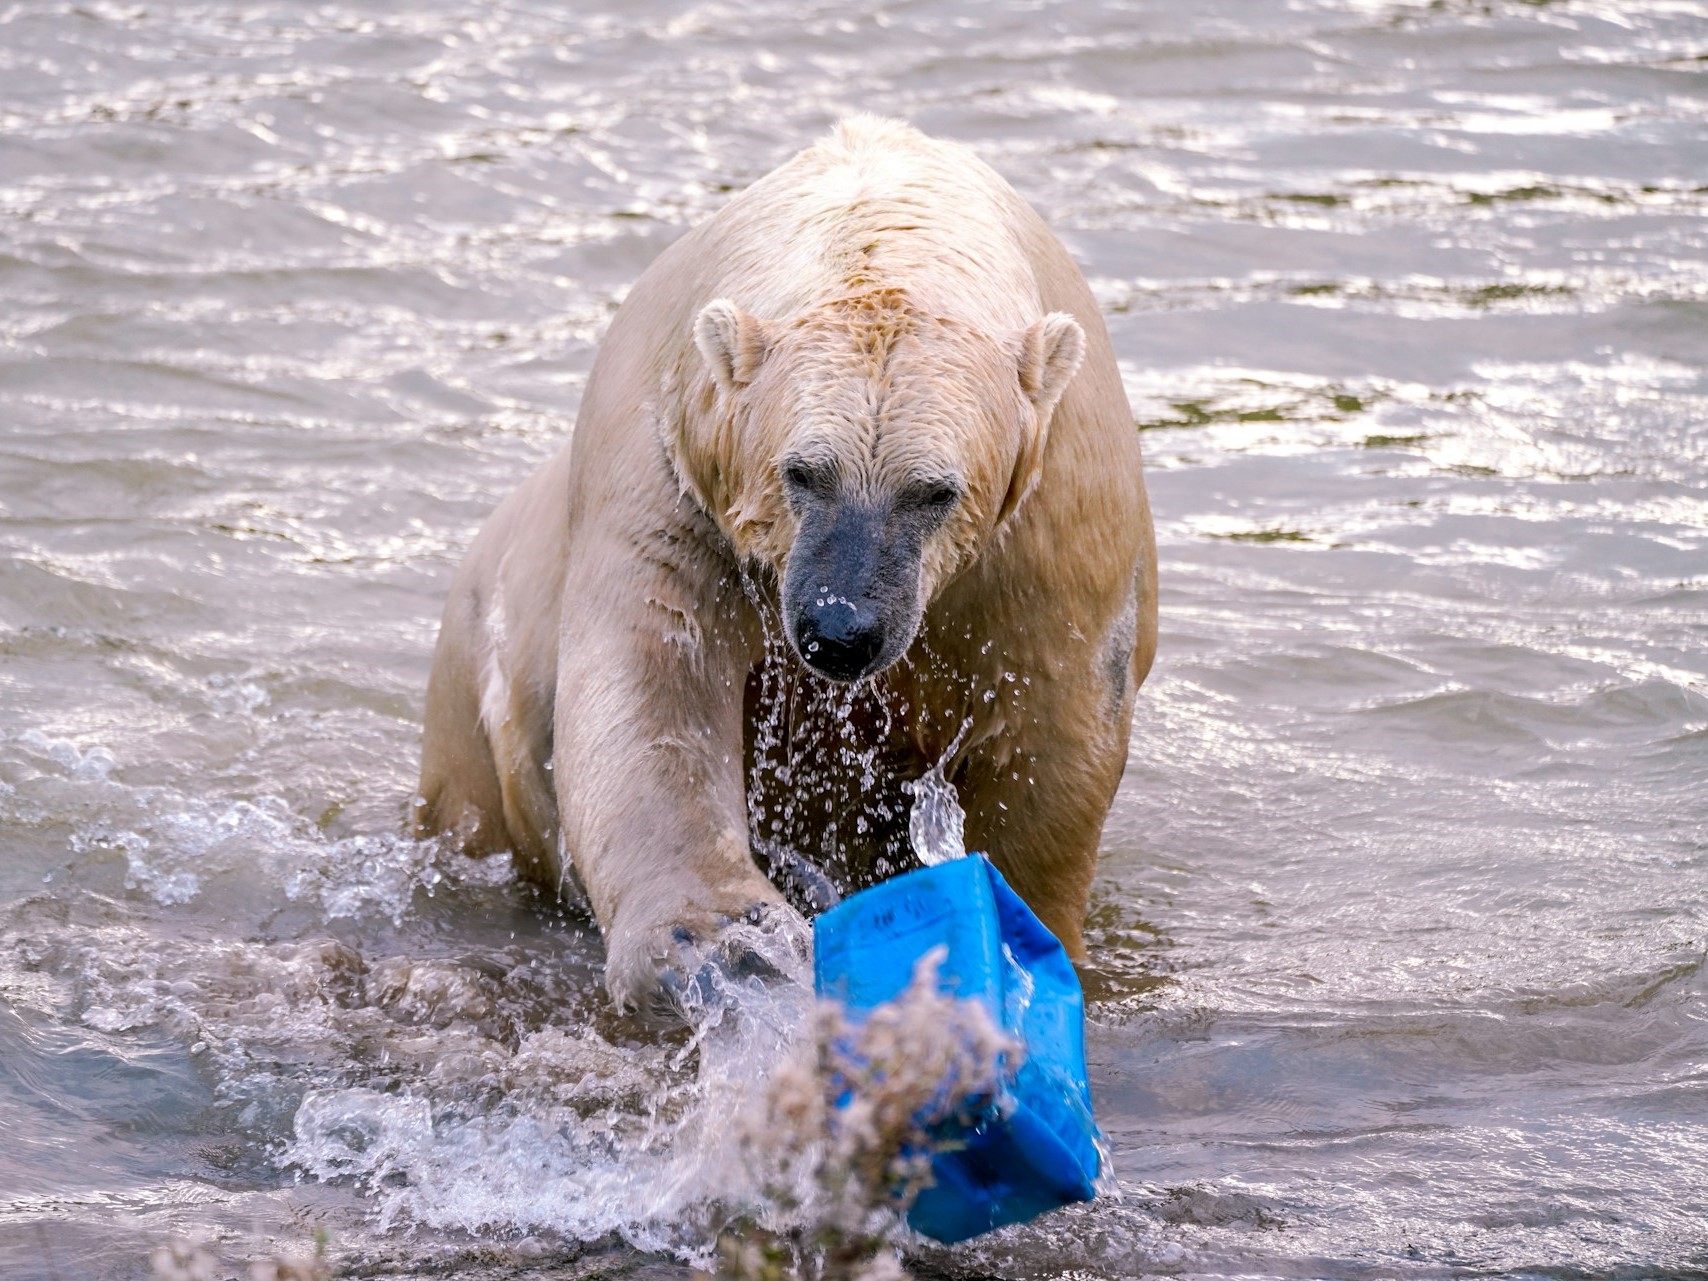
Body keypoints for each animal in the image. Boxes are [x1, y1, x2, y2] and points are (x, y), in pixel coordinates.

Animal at [415, 117, 1161, 1024]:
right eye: (802, 471)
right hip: (469, 709)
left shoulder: (1058, 516)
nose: (841, 629)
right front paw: (724, 940)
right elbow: (654, 674)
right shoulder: (670, 461)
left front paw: (1018, 936)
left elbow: (1054, 724)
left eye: (933, 491)